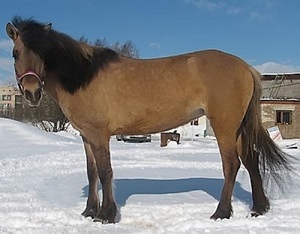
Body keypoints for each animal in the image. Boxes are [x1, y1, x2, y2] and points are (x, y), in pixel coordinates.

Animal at [6, 16, 292, 223]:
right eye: (16, 53)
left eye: (43, 53)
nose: (31, 93)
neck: (83, 76)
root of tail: (246, 67)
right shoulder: (86, 136)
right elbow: (92, 172)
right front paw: (89, 212)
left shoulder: (99, 135)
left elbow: (105, 172)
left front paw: (106, 215)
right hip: (238, 127)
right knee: (251, 160)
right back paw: (258, 209)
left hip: (224, 125)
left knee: (232, 164)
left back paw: (221, 212)